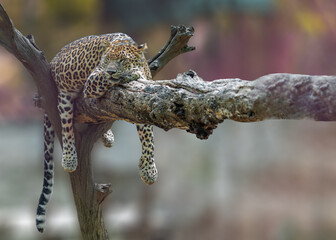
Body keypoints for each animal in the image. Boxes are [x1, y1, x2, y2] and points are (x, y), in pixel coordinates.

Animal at [34, 33, 158, 232]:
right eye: (107, 60)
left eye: (123, 60)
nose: (111, 70)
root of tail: (53, 61)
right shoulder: (94, 79)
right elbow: (109, 79)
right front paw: (129, 74)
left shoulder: (141, 104)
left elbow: (148, 138)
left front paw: (148, 170)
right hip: (64, 100)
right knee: (66, 127)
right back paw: (70, 159)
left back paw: (107, 136)